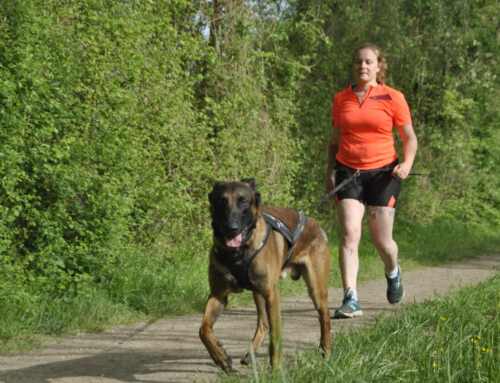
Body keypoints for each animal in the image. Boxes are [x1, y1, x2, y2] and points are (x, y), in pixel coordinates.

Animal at [199, 179, 332, 372]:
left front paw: (275, 369)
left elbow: (275, 336)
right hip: (257, 293)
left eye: (243, 201)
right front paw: (220, 357)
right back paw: (250, 355)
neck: (238, 253)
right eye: (222, 201)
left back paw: (326, 351)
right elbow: (203, 329)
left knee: (325, 317)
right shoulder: (218, 295)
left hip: (315, 289)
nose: (232, 228)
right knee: (263, 323)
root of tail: (315, 223)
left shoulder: (271, 295)